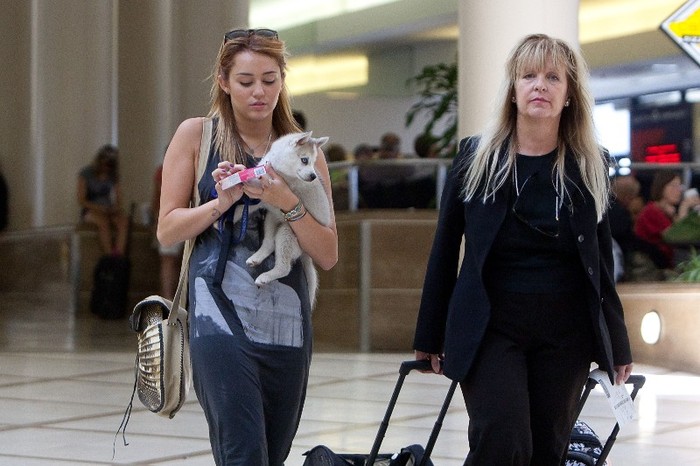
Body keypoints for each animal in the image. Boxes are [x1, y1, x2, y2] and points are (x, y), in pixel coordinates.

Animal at [246, 132, 330, 306]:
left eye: (313, 162)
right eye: (305, 160)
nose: (313, 176)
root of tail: (307, 254)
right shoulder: (263, 202)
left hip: (287, 233)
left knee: (284, 267)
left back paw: (265, 277)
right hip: (272, 218)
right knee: (269, 243)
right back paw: (256, 258)